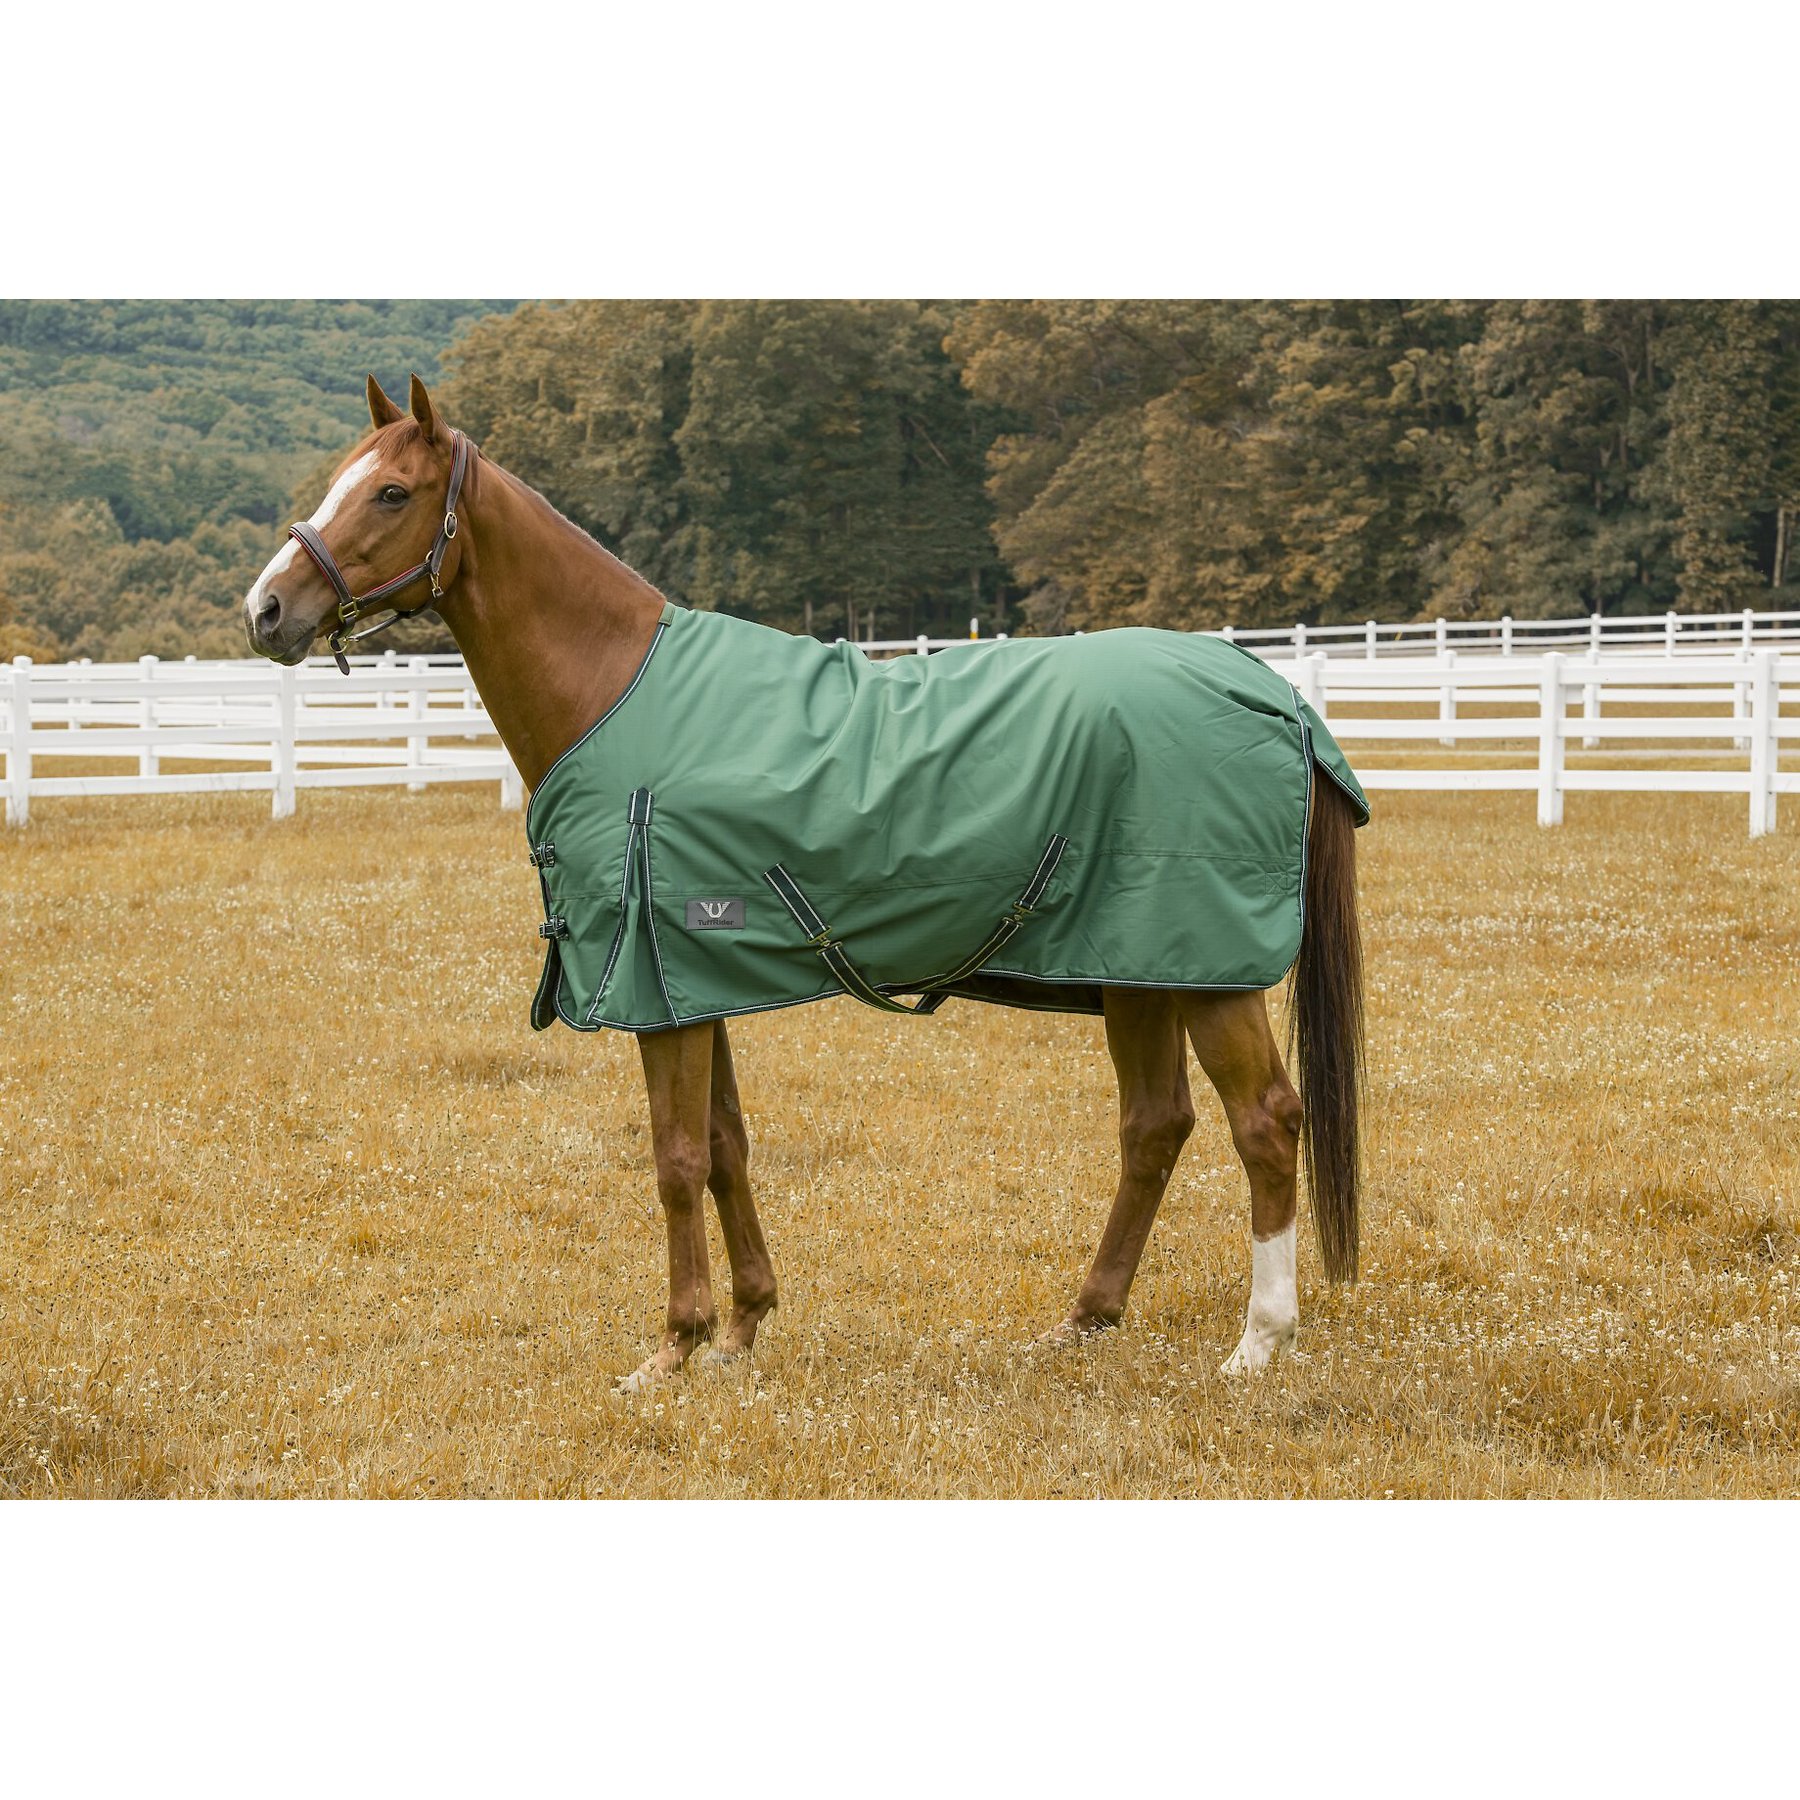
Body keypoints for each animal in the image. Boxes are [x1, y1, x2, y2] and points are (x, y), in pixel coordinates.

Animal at [243, 374, 1366, 1390]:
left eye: (391, 493)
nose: (267, 610)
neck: (615, 688)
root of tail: (1271, 695)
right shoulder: (693, 981)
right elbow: (726, 1145)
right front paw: (742, 1327)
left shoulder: (657, 988)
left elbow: (675, 1158)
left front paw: (674, 1345)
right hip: (1139, 973)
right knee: (1154, 1128)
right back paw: (1084, 1321)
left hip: (1209, 977)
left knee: (1266, 1123)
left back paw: (1258, 1342)